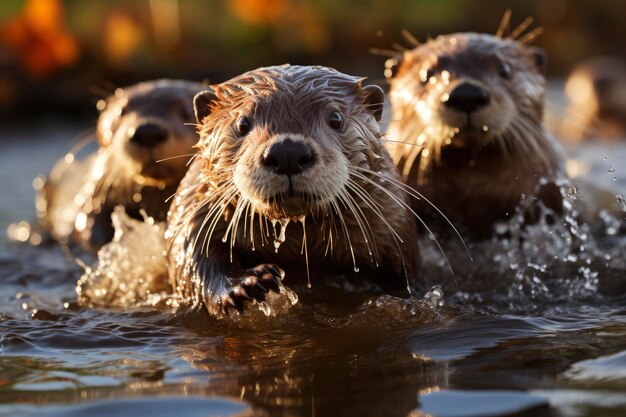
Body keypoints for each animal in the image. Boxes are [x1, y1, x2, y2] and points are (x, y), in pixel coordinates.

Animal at [166, 64, 420, 316]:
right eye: (242, 124)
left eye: (336, 118)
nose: (287, 152)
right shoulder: (195, 206)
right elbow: (191, 257)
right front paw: (244, 284)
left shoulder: (393, 218)